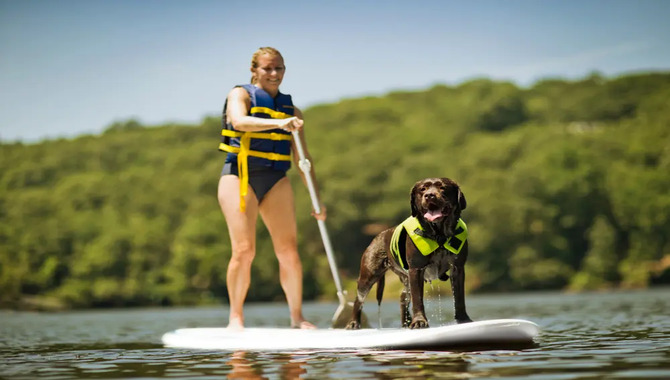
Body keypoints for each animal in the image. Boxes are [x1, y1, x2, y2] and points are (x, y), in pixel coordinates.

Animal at [346, 178, 472, 330]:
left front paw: (463, 319)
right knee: (358, 299)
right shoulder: (416, 270)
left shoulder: (457, 268)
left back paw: (405, 323)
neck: (439, 236)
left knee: (403, 296)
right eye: (423, 189)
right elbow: (418, 299)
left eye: (442, 188)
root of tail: (378, 236)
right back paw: (353, 323)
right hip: (368, 276)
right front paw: (419, 321)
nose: (429, 196)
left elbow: (459, 298)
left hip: (405, 278)